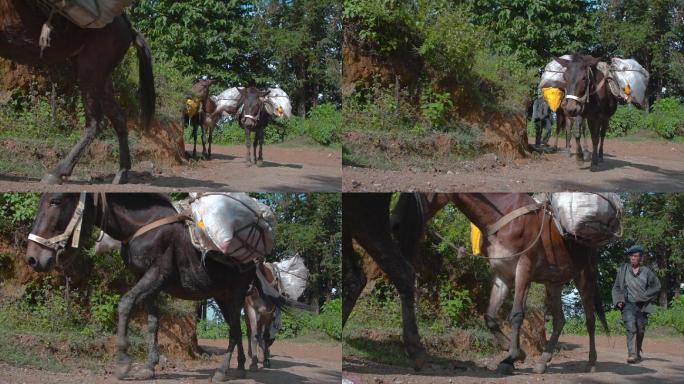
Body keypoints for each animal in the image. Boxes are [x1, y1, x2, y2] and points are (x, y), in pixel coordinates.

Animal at [0, 1, 155, 184]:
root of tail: (128, 27)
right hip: (101, 76)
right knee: (118, 118)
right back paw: (122, 172)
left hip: (89, 70)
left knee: (95, 122)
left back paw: (57, 172)